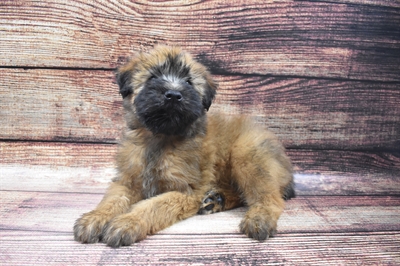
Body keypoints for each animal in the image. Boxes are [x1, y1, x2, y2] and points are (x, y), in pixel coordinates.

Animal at [73, 45, 296, 247]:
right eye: (152, 77)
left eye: (188, 82)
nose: (173, 95)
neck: (161, 138)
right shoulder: (127, 181)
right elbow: (111, 200)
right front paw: (95, 217)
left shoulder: (185, 191)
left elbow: (153, 206)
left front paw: (129, 222)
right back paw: (217, 199)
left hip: (247, 154)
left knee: (270, 198)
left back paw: (259, 217)